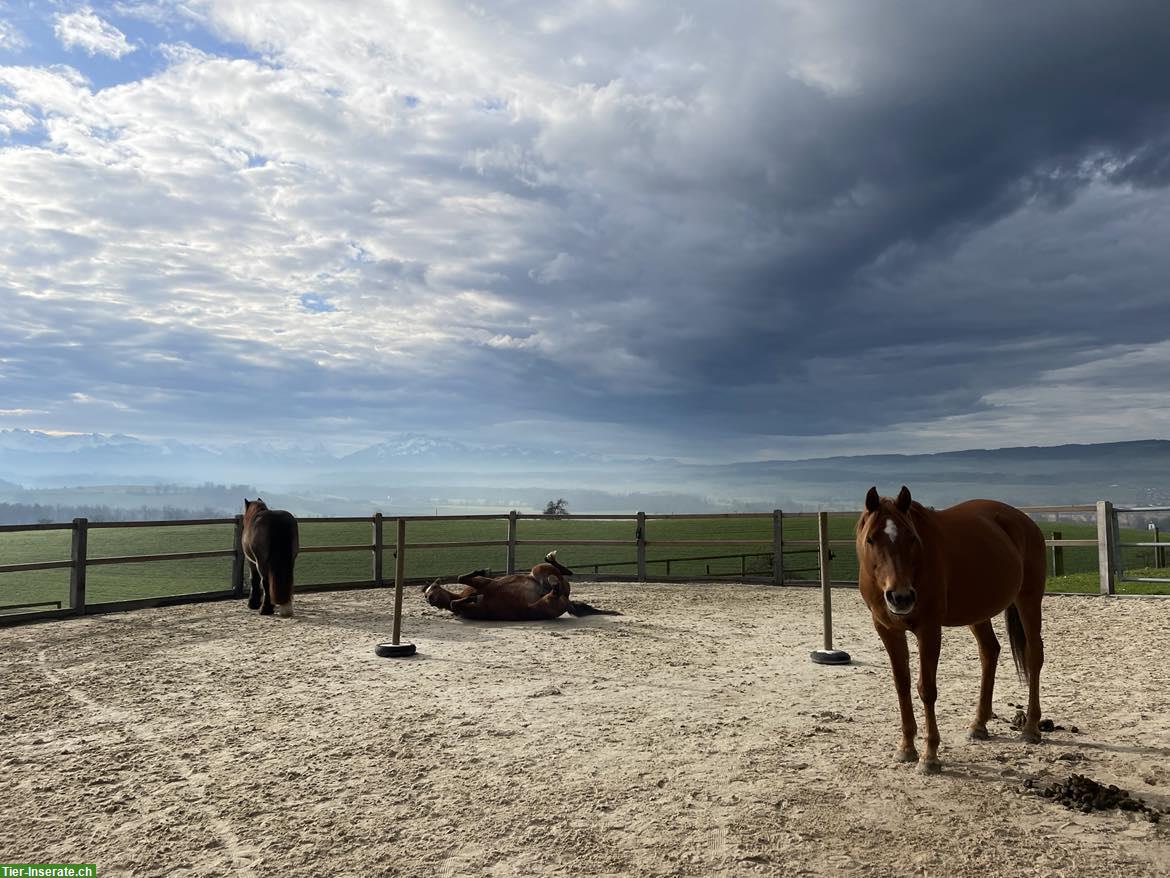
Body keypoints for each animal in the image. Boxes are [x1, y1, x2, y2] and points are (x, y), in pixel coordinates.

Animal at [423, 552, 622, 622]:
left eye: (432, 588)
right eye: (426, 594)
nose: (428, 599)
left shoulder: (484, 584)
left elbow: (462, 578)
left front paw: (481, 571)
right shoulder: (485, 586)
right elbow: (460, 588)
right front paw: (470, 597)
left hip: (537, 570)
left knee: (563, 573)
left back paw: (551, 559)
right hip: (549, 598)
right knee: (558, 582)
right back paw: (554, 580)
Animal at [856, 489, 1048, 777]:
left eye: (912, 537)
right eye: (870, 539)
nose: (901, 597)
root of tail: (1025, 522)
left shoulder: (929, 629)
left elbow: (926, 689)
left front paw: (930, 756)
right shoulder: (887, 630)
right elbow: (902, 685)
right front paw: (906, 747)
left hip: (1029, 600)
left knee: (1034, 655)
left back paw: (1030, 728)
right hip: (978, 611)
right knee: (989, 651)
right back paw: (979, 724)